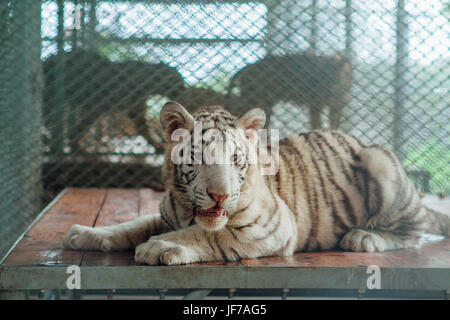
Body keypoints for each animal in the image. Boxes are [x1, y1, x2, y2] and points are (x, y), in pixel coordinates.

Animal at [61, 102, 448, 264]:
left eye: (235, 160)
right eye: (199, 158)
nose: (220, 196)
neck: (187, 209)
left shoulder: (274, 226)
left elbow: (211, 235)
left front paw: (158, 248)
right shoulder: (168, 214)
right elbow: (134, 224)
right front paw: (86, 234)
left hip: (379, 161)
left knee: (414, 231)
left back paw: (364, 237)